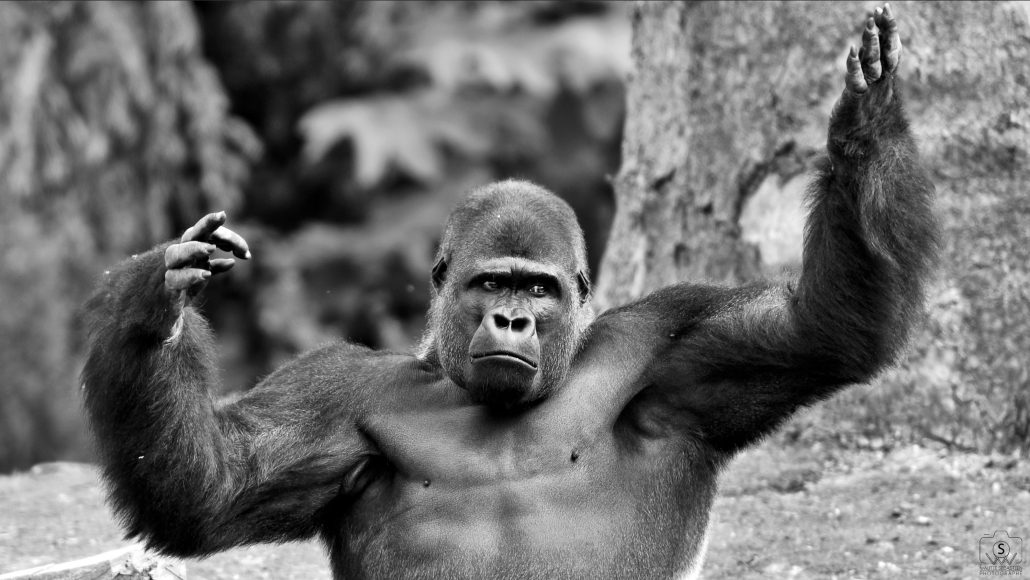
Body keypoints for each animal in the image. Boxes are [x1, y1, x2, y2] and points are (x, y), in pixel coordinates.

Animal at [82, 5, 936, 579]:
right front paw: (154, 305)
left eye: (539, 290)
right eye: (492, 283)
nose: (512, 319)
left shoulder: (673, 349)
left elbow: (825, 329)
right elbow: (210, 488)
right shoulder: (335, 391)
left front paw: (866, 117)